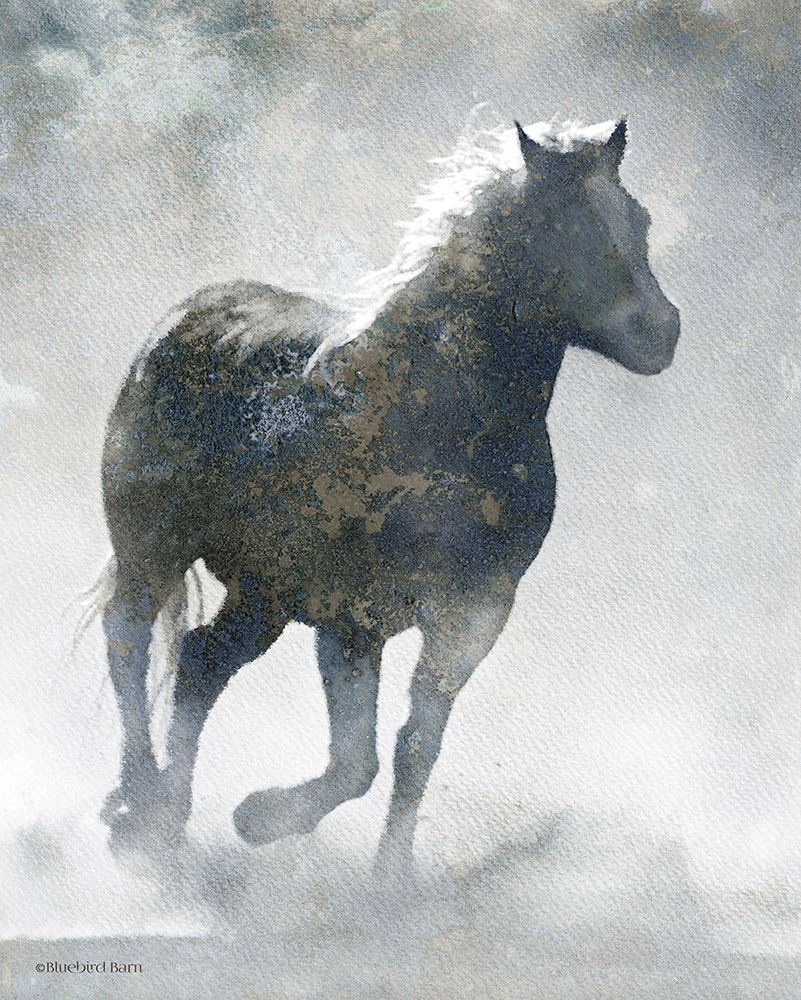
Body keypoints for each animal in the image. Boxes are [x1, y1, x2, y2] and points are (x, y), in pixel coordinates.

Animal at [92, 115, 680, 872]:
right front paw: (257, 818)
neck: (437, 422)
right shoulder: (342, 611)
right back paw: (145, 804)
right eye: (561, 226)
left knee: (195, 663)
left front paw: (383, 875)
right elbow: (357, 757)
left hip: (259, 594)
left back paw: (151, 806)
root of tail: (188, 316)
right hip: (177, 558)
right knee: (145, 645)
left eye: (638, 218)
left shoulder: (464, 618)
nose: (661, 332)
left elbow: (398, 752)